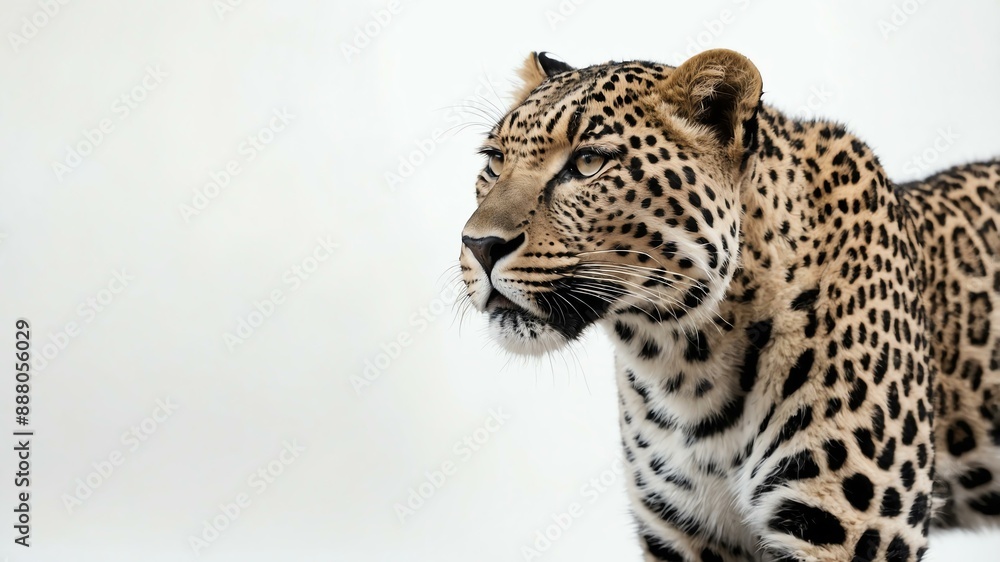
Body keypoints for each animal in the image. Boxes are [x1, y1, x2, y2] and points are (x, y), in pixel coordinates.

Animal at [456, 49, 1000, 561]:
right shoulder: (685, 531)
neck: (685, 364)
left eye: (588, 162)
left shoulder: (855, 531)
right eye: (494, 162)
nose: (479, 245)